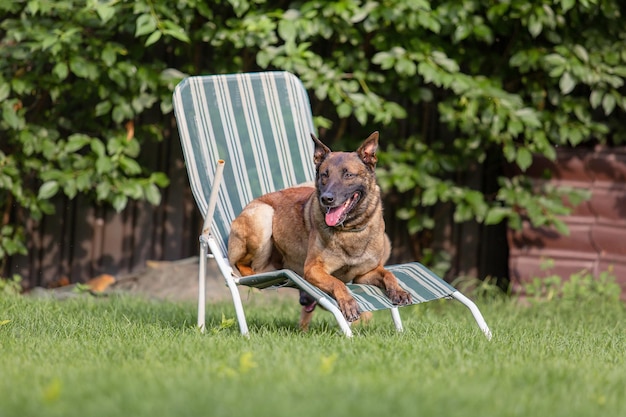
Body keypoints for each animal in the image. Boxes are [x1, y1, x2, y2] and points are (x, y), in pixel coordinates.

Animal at [227, 132, 412, 330]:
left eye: (348, 175)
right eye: (325, 175)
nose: (326, 198)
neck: (350, 229)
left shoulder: (364, 275)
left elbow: (389, 274)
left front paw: (399, 291)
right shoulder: (313, 269)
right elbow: (337, 282)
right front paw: (348, 302)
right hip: (263, 217)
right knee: (241, 264)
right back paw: (255, 276)